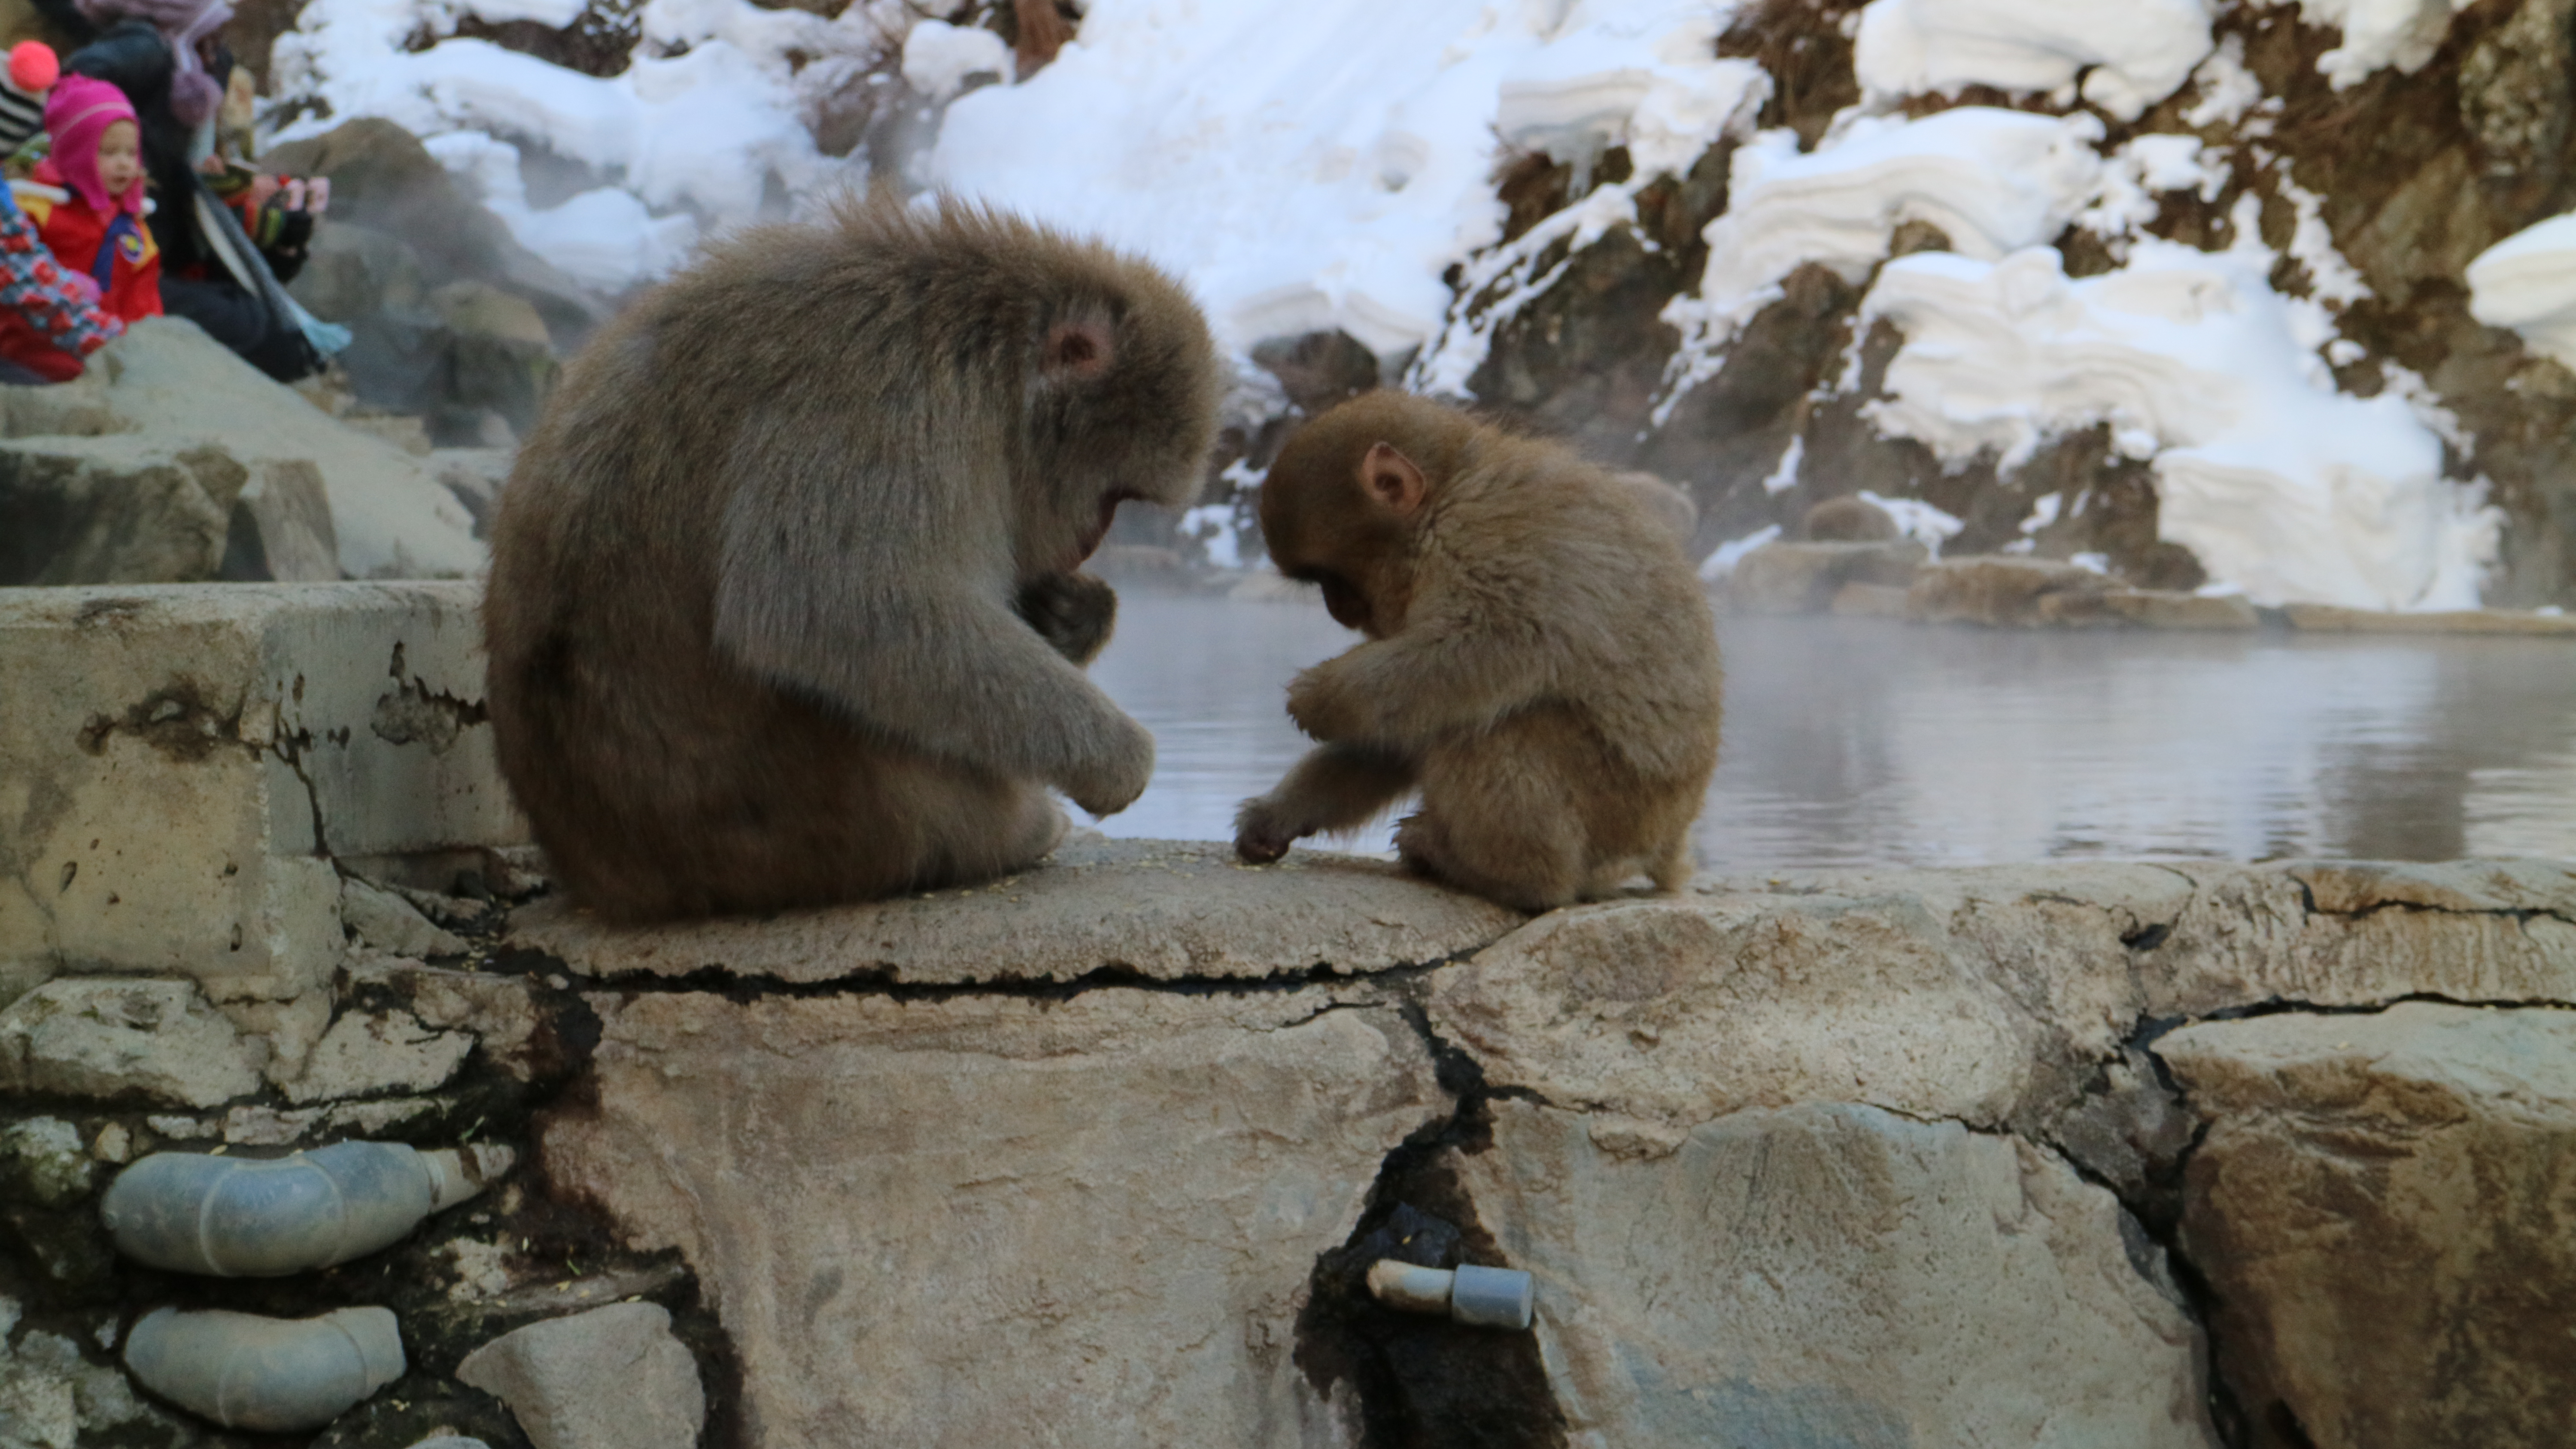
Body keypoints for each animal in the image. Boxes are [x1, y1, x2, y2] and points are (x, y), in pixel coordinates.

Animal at [482, 195, 1222, 923]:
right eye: (1114, 496)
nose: (1090, 541)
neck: (988, 343)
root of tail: (607, 880)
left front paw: (1074, 613)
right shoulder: (892, 389)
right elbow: (831, 610)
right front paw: (1118, 760)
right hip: (842, 831)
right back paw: (1027, 831)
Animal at [1233, 393, 1724, 912]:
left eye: (1332, 578)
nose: (1337, 609)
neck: (1448, 490)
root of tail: (1673, 836)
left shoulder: (1479, 541)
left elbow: (1495, 644)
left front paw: (1318, 698)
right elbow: (1395, 730)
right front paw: (1278, 815)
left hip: (1622, 810)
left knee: (1493, 724)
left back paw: (1516, 879)